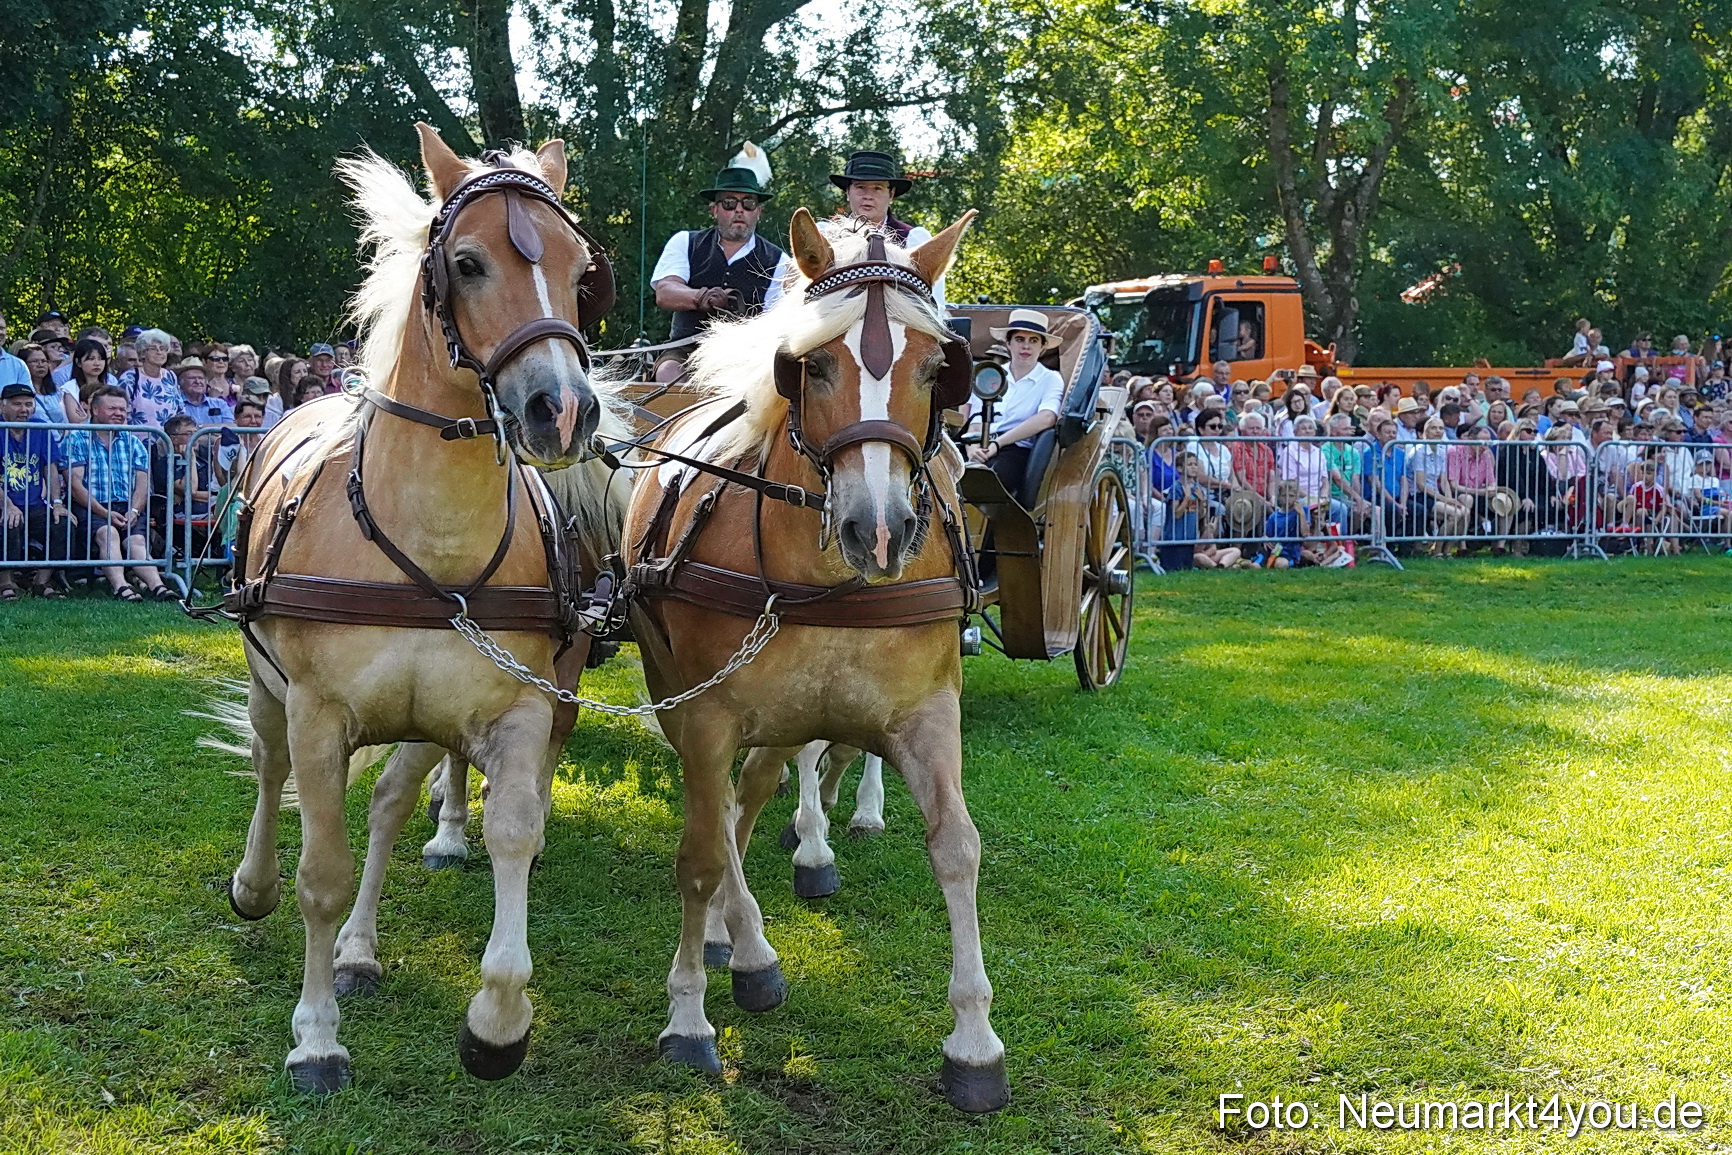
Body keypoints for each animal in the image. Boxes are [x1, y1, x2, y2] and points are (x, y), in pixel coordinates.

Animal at [212, 123, 621, 1094]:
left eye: (580, 268)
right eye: (467, 263)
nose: (563, 410)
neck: (426, 540)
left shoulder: (515, 708)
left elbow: (510, 832)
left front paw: (497, 1021)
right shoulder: (320, 714)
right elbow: (321, 869)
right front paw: (316, 1036)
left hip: (426, 716)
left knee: (392, 803)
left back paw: (361, 948)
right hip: (269, 685)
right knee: (269, 769)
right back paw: (255, 884)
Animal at [622, 208, 1011, 1112]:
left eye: (937, 367)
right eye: (815, 364)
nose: (882, 529)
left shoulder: (927, 709)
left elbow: (957, 845)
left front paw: (974, 1039)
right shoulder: (705, 716)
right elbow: (699, 856)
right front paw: (687, 1015)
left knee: (751, 796)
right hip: (682, 695)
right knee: (719, 824)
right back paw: (746, 945)